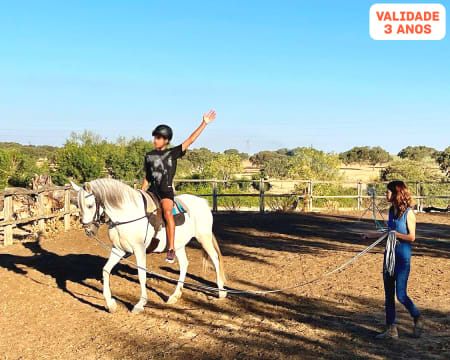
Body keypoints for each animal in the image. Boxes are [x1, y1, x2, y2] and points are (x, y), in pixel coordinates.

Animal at [70, 179, 227, 314]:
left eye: (90, 205)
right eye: (78, 206)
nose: (88, 230)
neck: (127, 215)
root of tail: (202, 201)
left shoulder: (139, 250)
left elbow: (141, 275)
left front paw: (140, 304)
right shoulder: (118, 250)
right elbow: (105, 270)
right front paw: (111, 304)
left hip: (204, 238)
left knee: (215, 259)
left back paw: (221, 292)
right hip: (178, 245)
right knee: (184, 264)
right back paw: (175, 295)